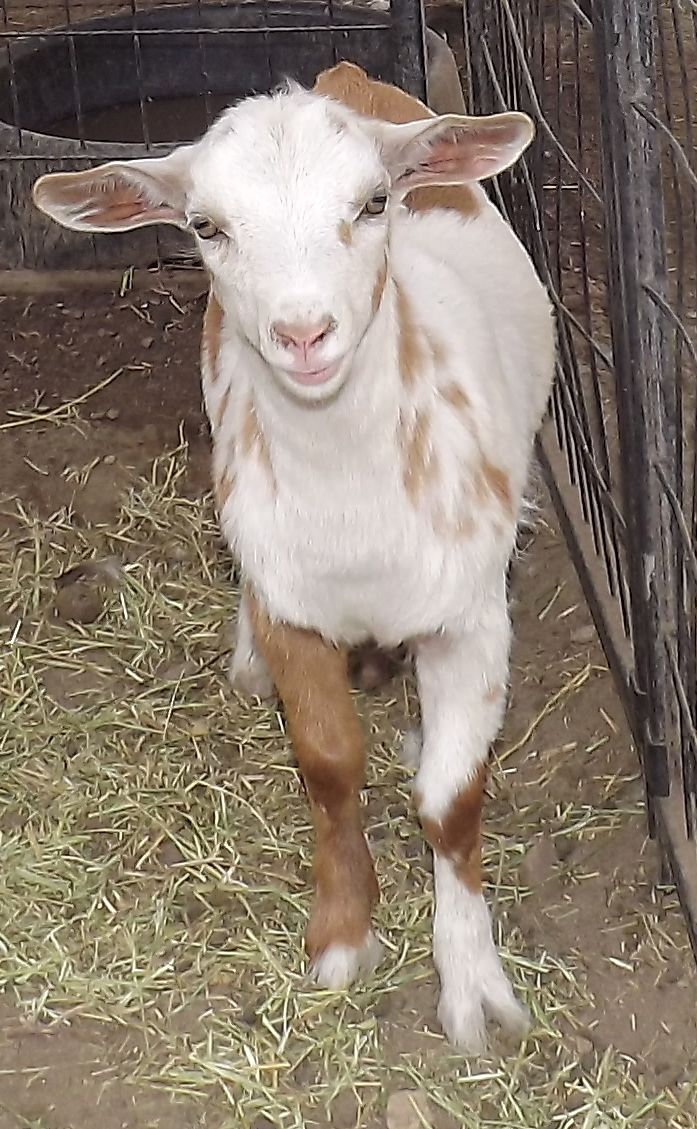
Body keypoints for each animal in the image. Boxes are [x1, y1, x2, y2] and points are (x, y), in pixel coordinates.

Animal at [32, 63, 555, 1052]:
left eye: (375, 201)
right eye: (205, 225)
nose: (304, 333)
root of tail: (349, 75)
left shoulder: (471, 617)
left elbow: (448, 801)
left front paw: (474, 990)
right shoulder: (293, 610)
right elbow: (327, 763)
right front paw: (343, 935)